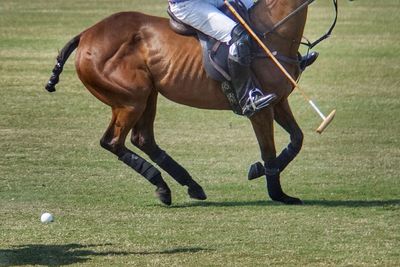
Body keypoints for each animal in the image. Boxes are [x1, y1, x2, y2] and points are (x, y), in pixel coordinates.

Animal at [45, 0, 310, 206]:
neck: (271, 33)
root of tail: (85, 34)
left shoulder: (279, 101)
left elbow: (297, 139)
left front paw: (260, 173)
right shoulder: (259, 108)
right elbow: (268, 150)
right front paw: (277, 193)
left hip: (148, 95)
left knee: (142, 139)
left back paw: (187, 185)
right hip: (131, 99)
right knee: (113, 141)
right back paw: (165, 185)